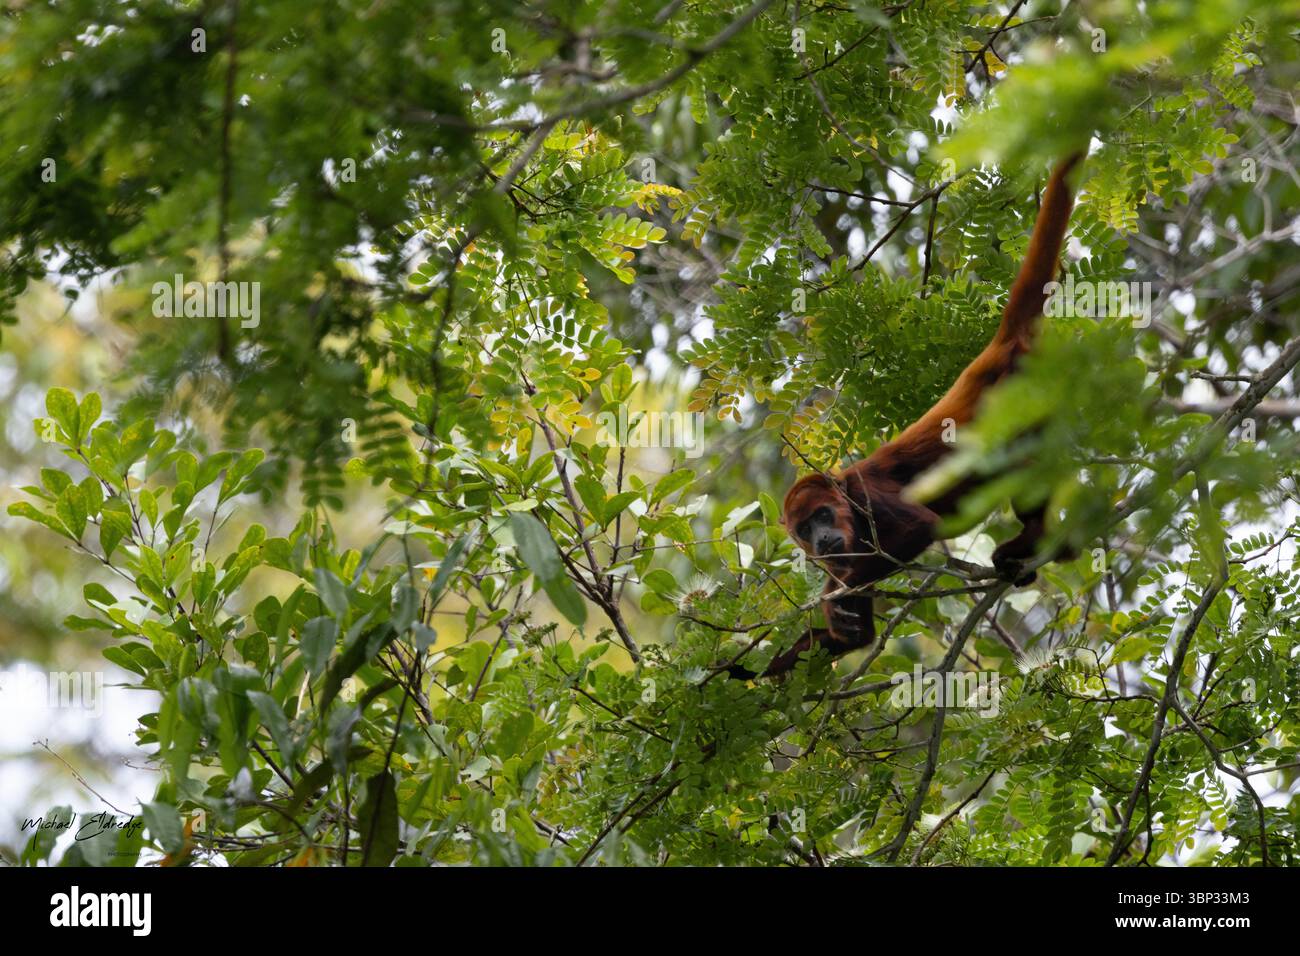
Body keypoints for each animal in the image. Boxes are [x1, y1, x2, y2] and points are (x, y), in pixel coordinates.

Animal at [730, 154, 1083, 680]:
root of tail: (995, 351)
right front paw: (729, 675)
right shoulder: (837, 559)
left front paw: (834, 603)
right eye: (805, 530)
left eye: (822, 514)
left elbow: (921, 525)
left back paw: (1035, 539)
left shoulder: (866, 498)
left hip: (1022, 392)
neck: (846, 507)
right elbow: (854, 636)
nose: (824, 539)